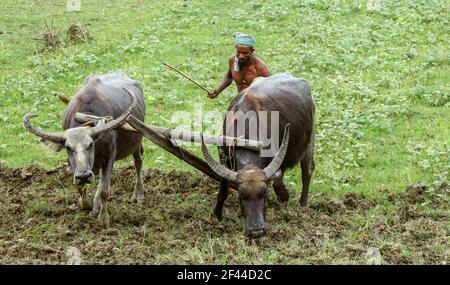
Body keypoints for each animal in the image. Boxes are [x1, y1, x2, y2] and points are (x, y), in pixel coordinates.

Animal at [22, 71, 146, 224]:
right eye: (68, 147)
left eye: (90, 144)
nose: (84, 175)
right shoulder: (73, 164)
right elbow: (80, 187)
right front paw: (87, 205)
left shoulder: (109, 156)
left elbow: (104, 190)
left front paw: (103, 218)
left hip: (137, 142)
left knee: (138, 161)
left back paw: (138, 194)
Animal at [202, 72, 314, 237]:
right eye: (241, 195)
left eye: (264, 192)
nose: (256, 231)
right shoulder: (223, 157)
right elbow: (223, 190)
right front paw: (217, 215)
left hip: (309, 142)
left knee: (307, 170)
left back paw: (302, 204)